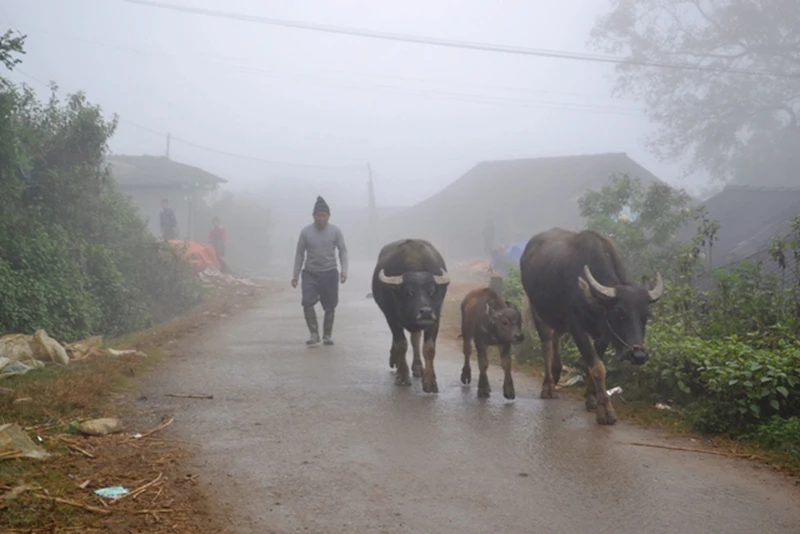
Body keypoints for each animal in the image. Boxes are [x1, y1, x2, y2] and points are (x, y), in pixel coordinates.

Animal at [370, 239, 450, 394]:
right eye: (409, 292)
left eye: (431, 291)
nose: (426, 312)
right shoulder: (391, 318)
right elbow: (401, 344)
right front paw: (402, 375)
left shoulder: (435, 319)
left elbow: (429, 348)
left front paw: (430, 381)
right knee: (400, 341)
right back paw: (395, 359)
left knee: (415, 339)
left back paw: (418, 366)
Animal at [520, 227, 664, 428]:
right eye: (620, 313)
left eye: (646, 317)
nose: (638, 355)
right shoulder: (576, 326)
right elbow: (597, 367)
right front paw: (606, 411)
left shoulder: (604, 334)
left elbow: (596, 364)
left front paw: (591, 399)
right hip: (537, 310)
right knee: (547, 343)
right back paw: (548, 386)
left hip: (558, 318)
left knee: (556, 338)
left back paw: (557, 373)